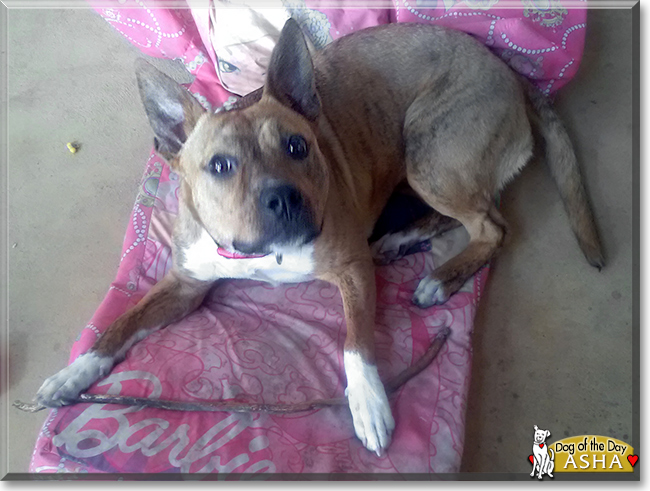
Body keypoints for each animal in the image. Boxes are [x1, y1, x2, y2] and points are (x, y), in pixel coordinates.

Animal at [36, 19, 604, 458]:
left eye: (298, 146)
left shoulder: (351, 270)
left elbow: (356, 342)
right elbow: (120, 325)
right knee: (470, 216)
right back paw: (405, 239)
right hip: (425, 166)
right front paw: (74, 373)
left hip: (429, 155)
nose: (283, 199)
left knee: (493, 225)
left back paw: (441, 277)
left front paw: (369, 402)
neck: (259, 253)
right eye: (220, 166)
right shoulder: (185, 285)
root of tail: (510, 72)